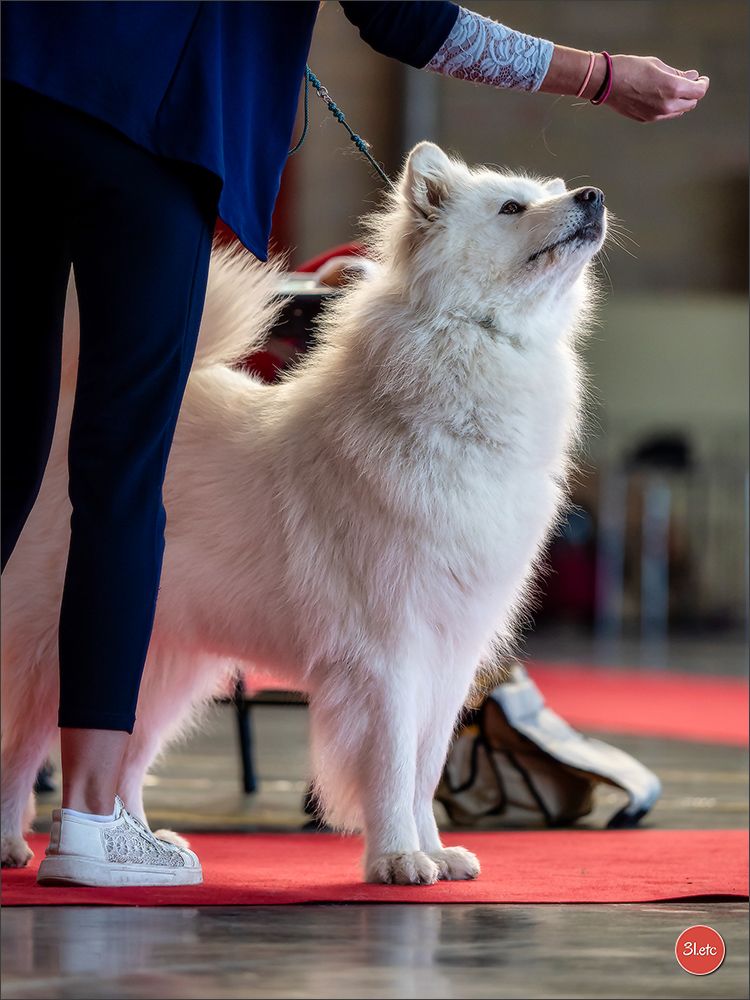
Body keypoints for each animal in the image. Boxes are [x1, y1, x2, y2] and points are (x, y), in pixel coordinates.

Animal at [1, 141, 604, 884]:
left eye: (542, 194)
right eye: (512, 207)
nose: (592, 197)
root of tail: (70, 403)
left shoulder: (450, 652)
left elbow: (426, 768)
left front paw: (434, 850)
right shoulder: (389, 648)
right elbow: (393, 763)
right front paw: (398, 858)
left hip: (163, 663)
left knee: (124, 752)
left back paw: (147, 848)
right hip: (60, 646)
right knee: (23, 753)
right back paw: (15, 844)